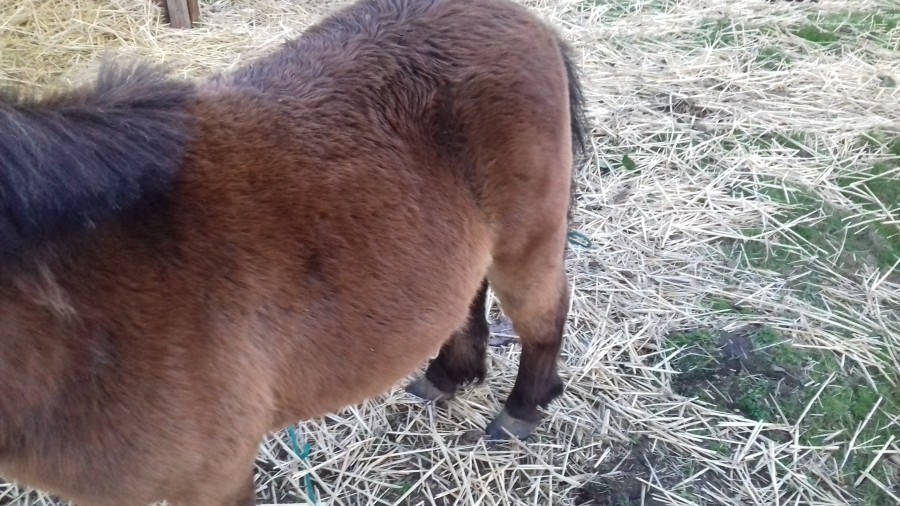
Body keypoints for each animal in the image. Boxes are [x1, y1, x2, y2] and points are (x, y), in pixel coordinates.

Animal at [0, 0, 587, 503]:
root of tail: (526, 20)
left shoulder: (216, 476)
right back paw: (447, 375)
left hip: (526, 242)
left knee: (543, 313)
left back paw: (521, 409)